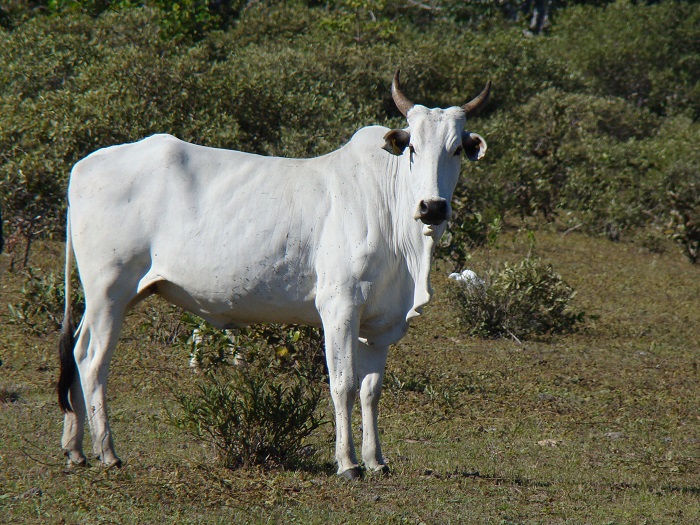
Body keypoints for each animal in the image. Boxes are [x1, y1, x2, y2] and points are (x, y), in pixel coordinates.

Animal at [57, 70, 490, 478]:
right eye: (412, 147)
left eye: (456, 149)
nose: (433, 207)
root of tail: (82, 166)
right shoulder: (339, 307)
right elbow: (344, 384)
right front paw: (348, 463)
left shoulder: (379, 323)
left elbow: (371, 391)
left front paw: (376, 461)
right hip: (108, 291)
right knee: (93, 362)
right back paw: (107, 452)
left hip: (114, 296)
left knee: (76, 350)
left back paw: (76, 449)